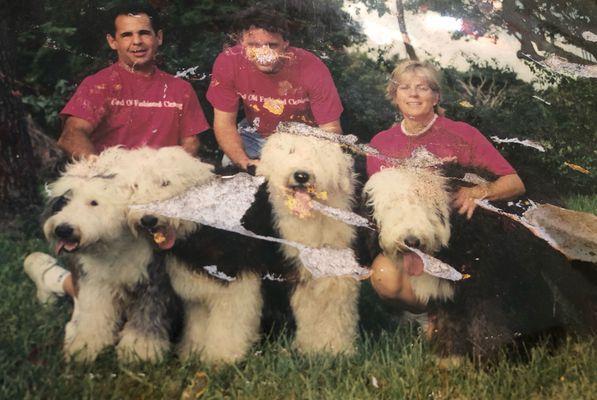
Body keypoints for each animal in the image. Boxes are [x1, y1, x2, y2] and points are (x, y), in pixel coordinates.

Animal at [256, 131, 358, 354]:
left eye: (319, 154)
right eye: (290, 151)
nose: (301, 176)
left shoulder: (335, 273)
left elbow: (333, 310)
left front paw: (335, 348)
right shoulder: (294, 270)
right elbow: (304, 307)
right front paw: (307, 347)